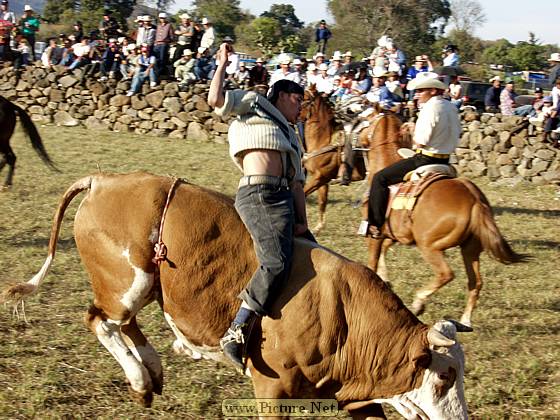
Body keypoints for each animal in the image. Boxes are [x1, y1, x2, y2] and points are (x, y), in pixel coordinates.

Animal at [2, 172, 470, 418]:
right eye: (444, 378)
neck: (344, 317)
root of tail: (104, 180)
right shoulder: (272, 389)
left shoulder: (355, 398)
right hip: (125, 282)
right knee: (101, 321)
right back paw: (140, 380)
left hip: (148, 286)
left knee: (126, 325)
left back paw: (154, 371)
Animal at [300, 87, 370, 233]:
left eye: (304, 98)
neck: (322, 139)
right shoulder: (322, 180)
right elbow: (322, 201)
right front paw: (318, 227)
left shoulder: (319, 177)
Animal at [358, 110, 528, 326]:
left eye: (367, 119)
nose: (358, 136)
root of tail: (474, 200)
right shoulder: (395, 235)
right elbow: (385, 250)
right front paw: (385, 279)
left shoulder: (374, 234)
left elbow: (372, 260)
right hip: (471, 248)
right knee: (475, 282)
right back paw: (465, 322)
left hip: (429, 246)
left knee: (446, 274)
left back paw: (418, 303)